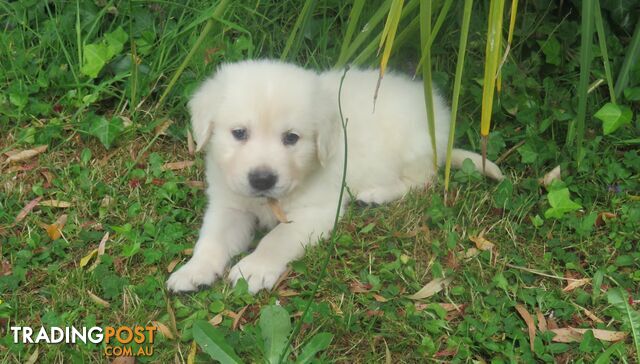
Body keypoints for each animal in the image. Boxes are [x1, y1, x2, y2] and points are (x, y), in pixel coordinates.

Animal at [166, 59, 504, 292]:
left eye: (291, 138)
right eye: (239, 133)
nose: (262, 180)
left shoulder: (316, 211)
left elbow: (277, 239)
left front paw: (254, 268)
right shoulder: (229, 204)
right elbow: (212, 238)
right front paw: (193, 270)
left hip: (414, 147)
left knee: (422, 180)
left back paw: (375, 195)